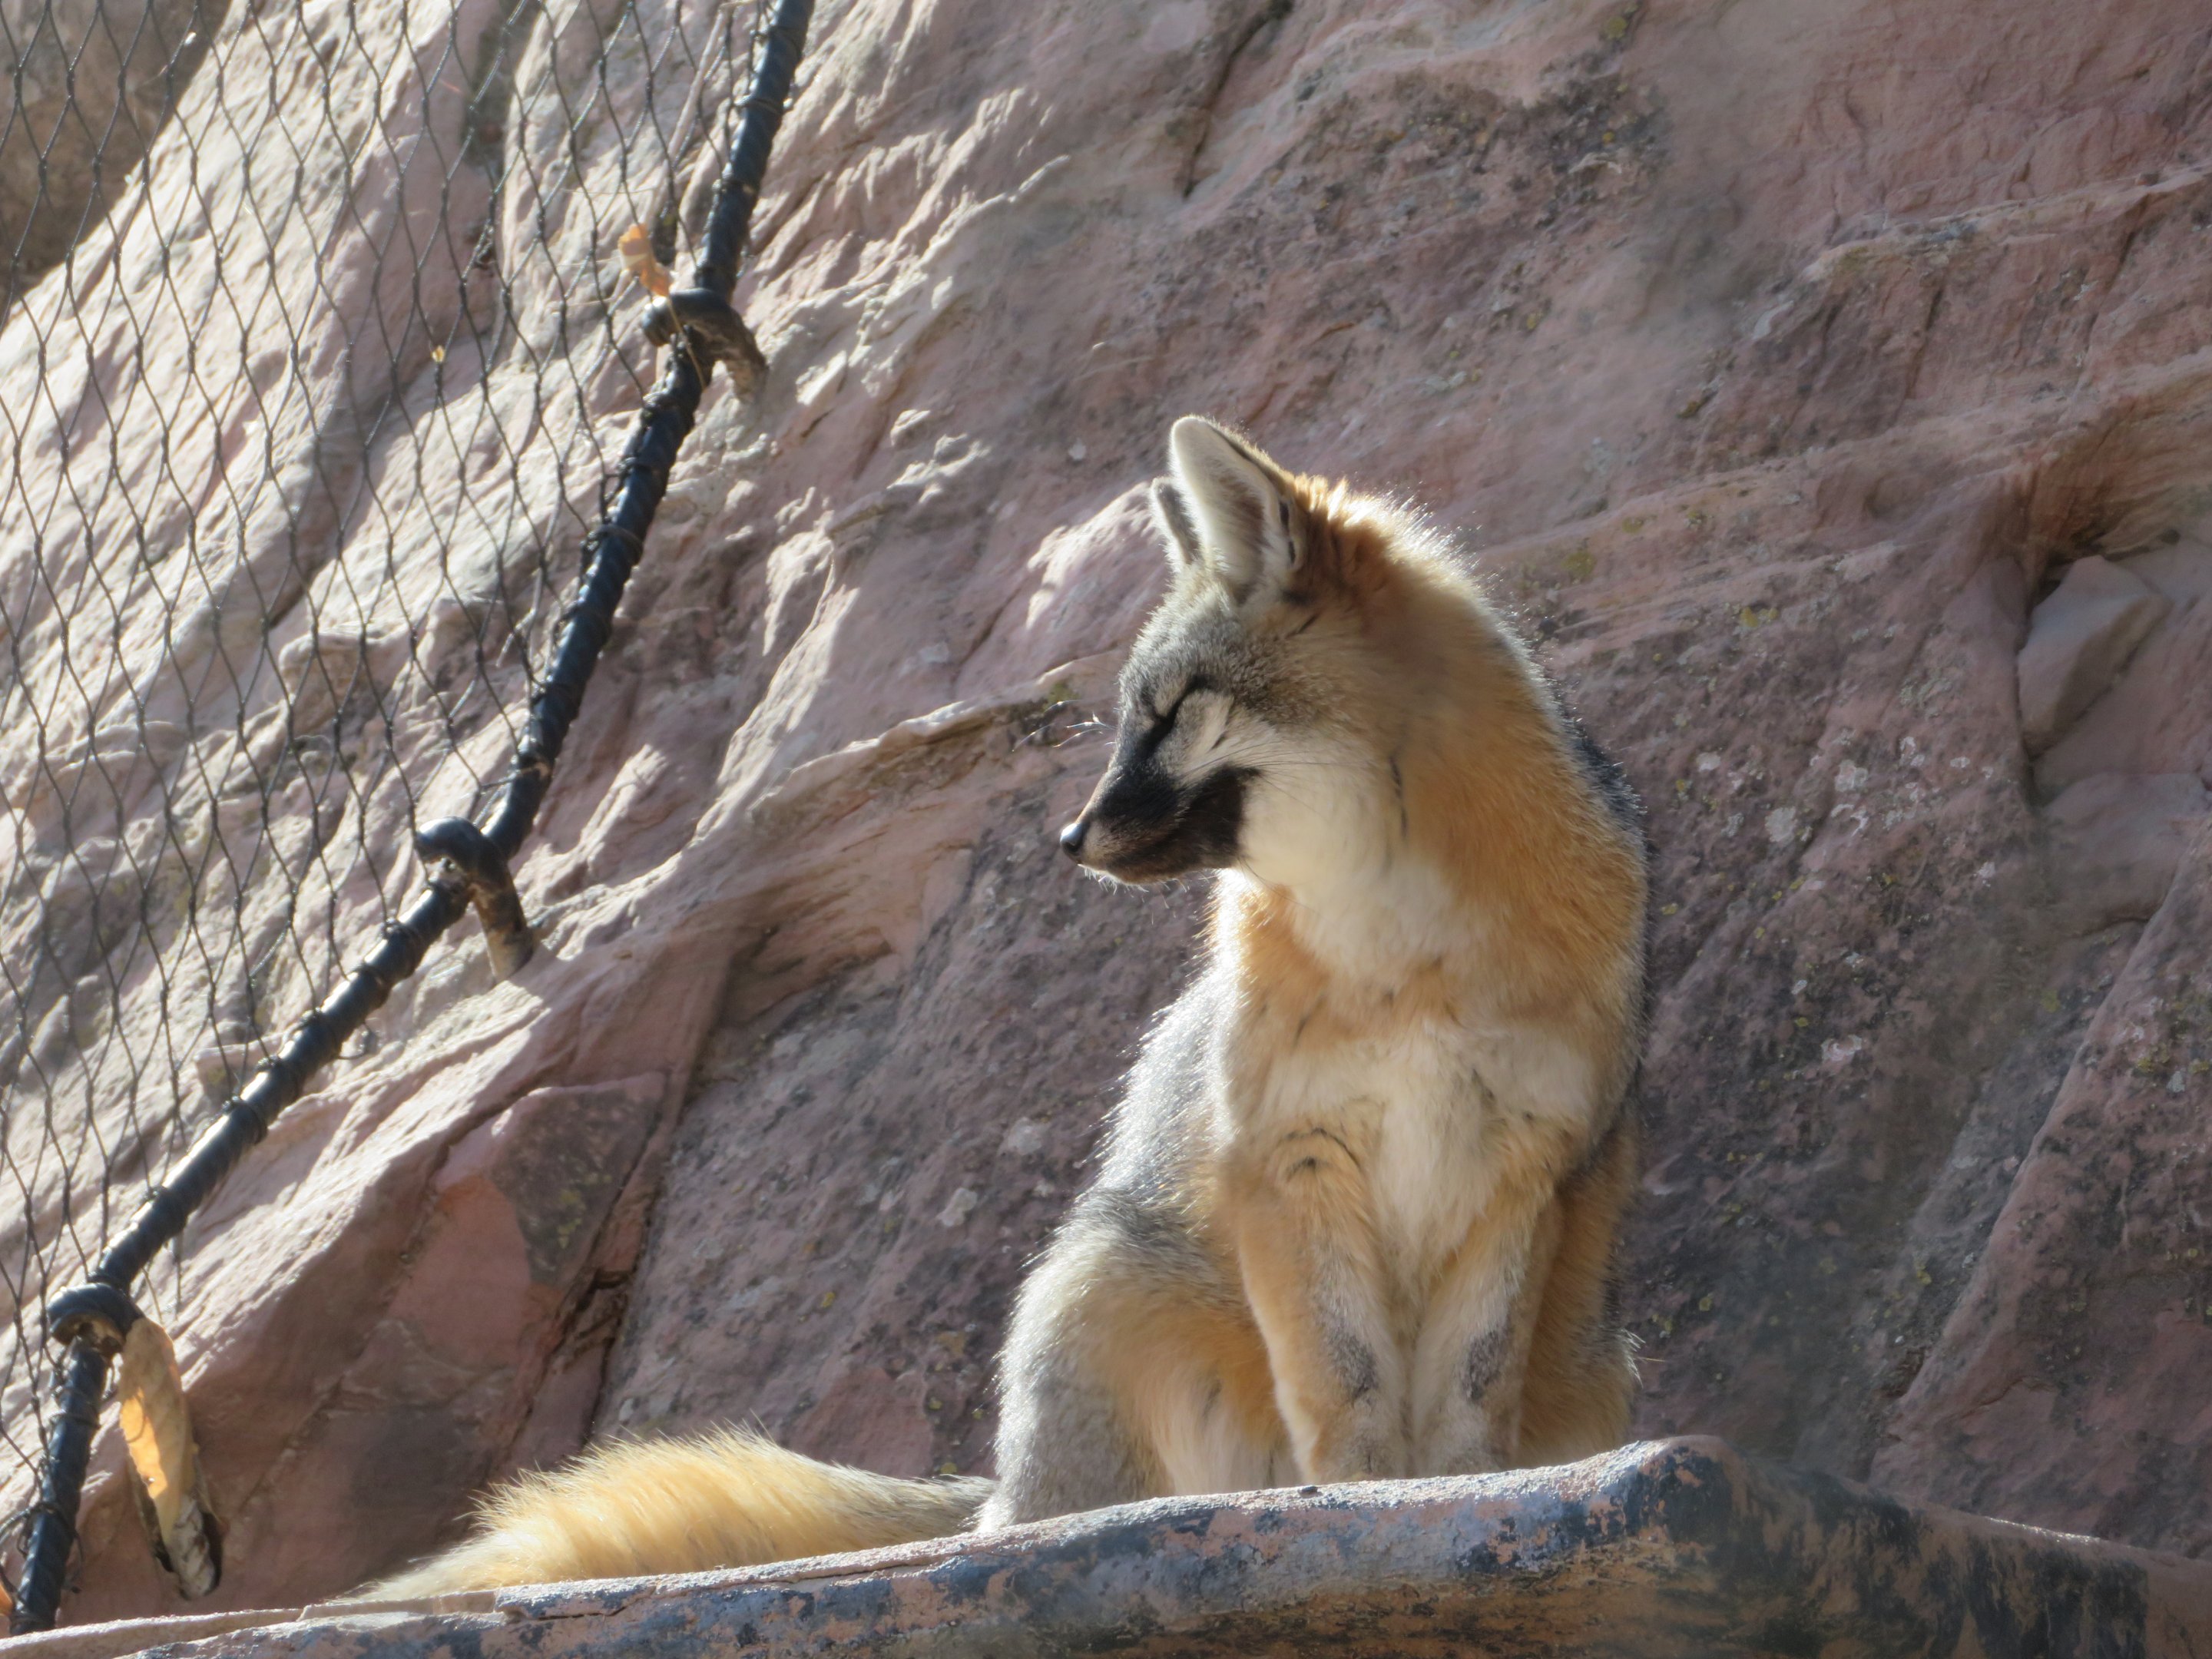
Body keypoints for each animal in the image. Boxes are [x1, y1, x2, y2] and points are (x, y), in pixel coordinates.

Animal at [366, 416, 1648, 1598]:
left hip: (1595, 1355)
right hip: (1094, 1283)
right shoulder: (1293, 1161)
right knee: (1061, 1521)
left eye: (1169, 711)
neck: (1407, 956)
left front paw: (1457, 1494)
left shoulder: (1523, 1162)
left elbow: (1470, 1395)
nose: (1069, 837)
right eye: (1130, 713)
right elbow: (1347, 1384)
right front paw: (1369, 1505)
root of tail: (997, 1495)